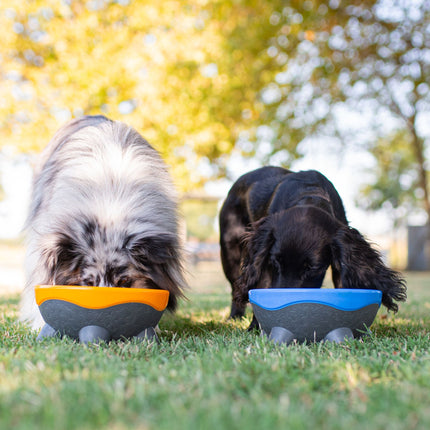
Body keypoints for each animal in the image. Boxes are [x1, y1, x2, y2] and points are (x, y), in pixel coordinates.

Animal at [220, 167, 404, 330]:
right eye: (276, 262)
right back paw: (235, 317)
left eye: (312, 268)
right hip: (229, 252)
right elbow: (262, 284)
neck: (309, 193)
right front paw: (256, 327)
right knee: (235, 287)